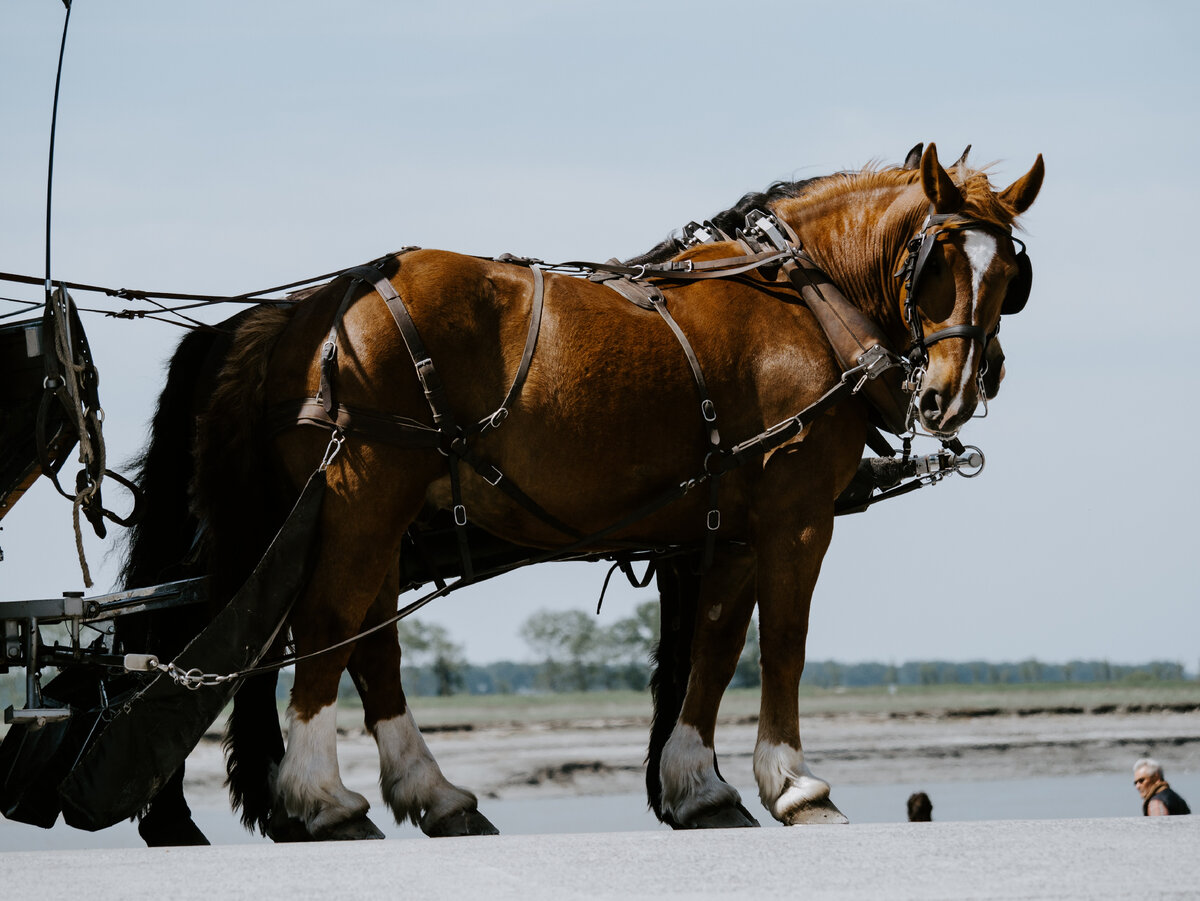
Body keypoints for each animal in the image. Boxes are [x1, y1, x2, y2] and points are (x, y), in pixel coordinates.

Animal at [187, 140, 1041, 839]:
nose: (954, 393)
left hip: (379, 512)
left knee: (369, 638)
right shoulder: (795, 518)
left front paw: (699, 785)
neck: (804, 299)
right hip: (365, 494)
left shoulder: (731, 527)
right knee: (329, 619)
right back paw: (320, 795)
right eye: (935, 262)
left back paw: (432, 794)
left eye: (1009, 277)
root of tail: (311, 311)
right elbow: (784, 643)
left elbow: (715, 649)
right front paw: (796, 784)